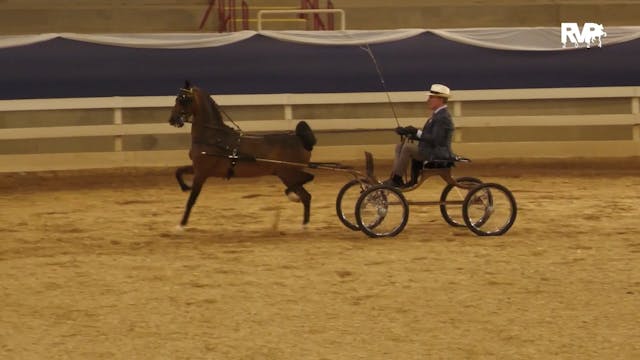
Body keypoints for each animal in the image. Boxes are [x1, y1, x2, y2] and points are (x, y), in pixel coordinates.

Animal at [169, 81, 316, 228]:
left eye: (182, 99)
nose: (172, 120)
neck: (212, 137)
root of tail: (299, 138)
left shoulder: (201, 173)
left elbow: (191, 199)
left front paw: (181, 224)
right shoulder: (198, 168)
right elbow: (178, 171)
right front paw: (185, 187)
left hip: (288, 173)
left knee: (308, 181)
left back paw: (292, 197)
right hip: (286, 174)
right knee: (306, 195)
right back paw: (304, 223)